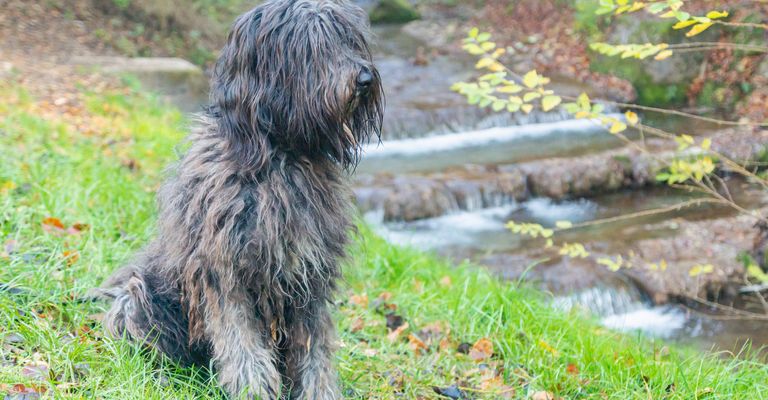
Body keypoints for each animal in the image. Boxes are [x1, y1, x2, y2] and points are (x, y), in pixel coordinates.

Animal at [102, 1, 384, 398]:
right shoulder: (222, 270)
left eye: (350, 39)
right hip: (138, 296)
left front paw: (319, 391)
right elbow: (241, 341)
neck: (280, 156)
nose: (365, 78)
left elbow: (314, 348)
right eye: (313, 46)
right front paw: (253, 389)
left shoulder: (309, 275)